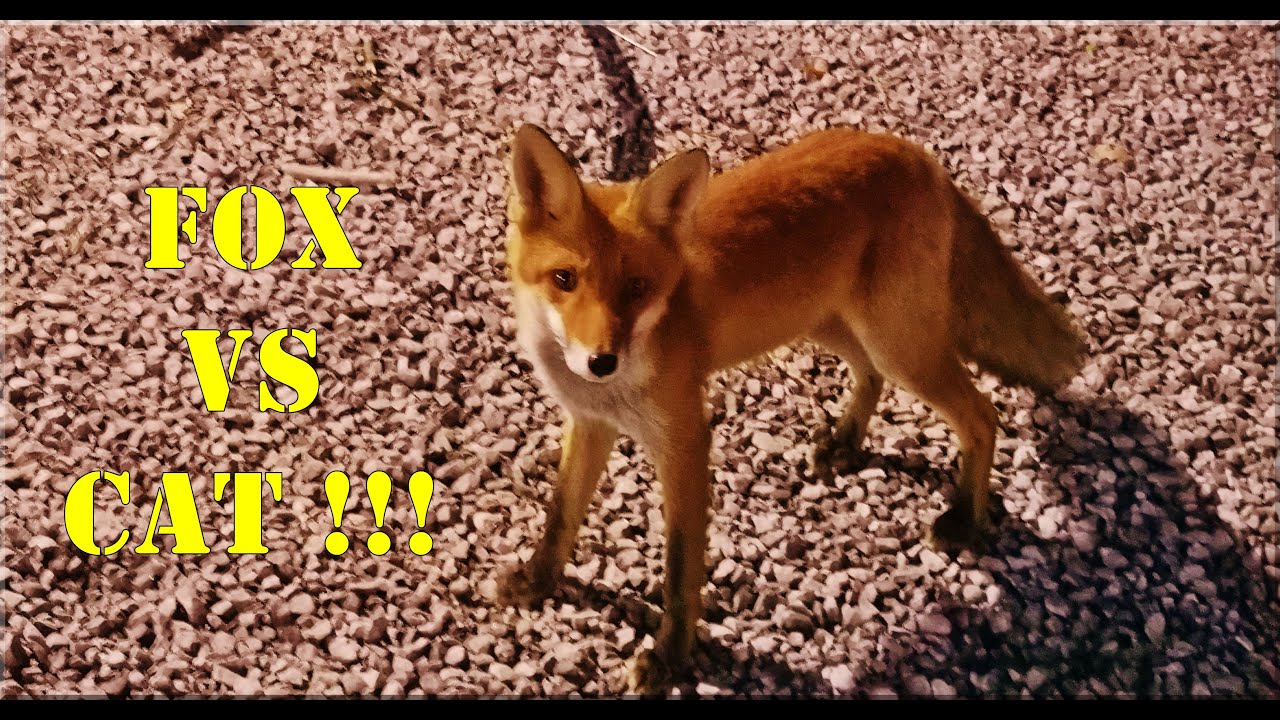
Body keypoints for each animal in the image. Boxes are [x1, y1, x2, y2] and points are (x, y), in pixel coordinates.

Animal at [496, 124, 1087, 694]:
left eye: (637, 288)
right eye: (565, 279)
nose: (600, 361)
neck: (612, 388)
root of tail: (910, 151)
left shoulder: (685, 440)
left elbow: (680, 568)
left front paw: (671, 658)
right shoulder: (590, 423)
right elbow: (561, 515)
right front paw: (539, 580)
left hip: (898, 343)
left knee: (983, 415)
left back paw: (965, 517)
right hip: (830, 324)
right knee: (870, 375)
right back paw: (847, 444)